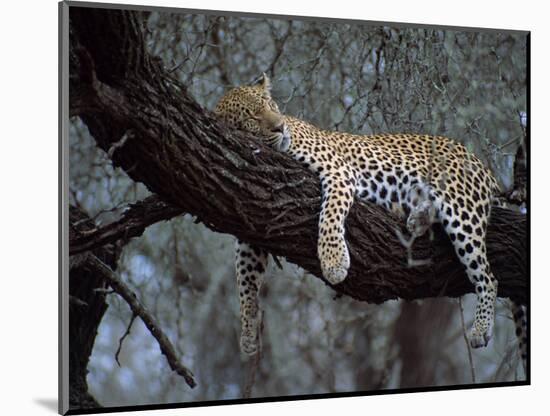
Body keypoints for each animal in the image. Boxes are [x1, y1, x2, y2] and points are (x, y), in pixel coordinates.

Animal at [213, 73, 528, 368]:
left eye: (271, 106)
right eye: (252, 117)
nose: (280, 126)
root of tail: (480, 164)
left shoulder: (338, 172)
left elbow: (329, 216)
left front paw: (334, 261)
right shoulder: (249, 222)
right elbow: (245, 278)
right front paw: (248, 333)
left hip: (461, 208)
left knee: (488, 276)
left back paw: (481, 328)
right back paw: (417, 218)